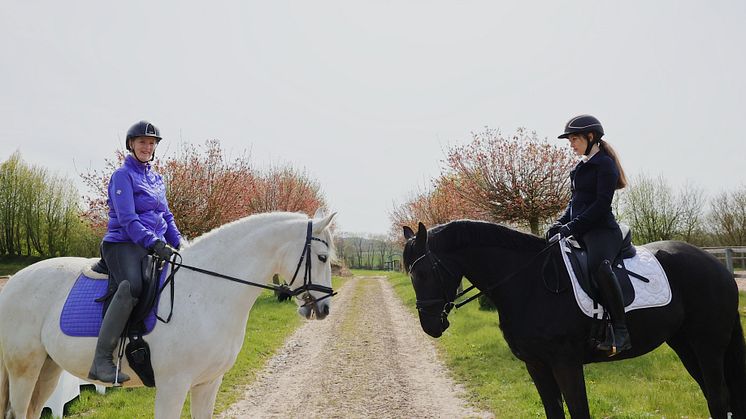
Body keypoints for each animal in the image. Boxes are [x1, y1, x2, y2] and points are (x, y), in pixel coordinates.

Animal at [0, 212, 334, 418]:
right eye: (322, 257)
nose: (325, 309)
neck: (206, 290)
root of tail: (13, 282)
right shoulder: (173, 387)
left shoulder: (208, 384)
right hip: (24, 369)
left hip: (48, 368)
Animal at [402, 221, 744, 418]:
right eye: (410, 273)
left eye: (423, 272)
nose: (430, 326)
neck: (528, 283)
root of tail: (717, 266)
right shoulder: (536, 365)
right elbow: (555, 413)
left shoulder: (565, 363)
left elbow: (580, 413)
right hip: (684, 345)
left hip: (708, 345)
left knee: (718, 397)